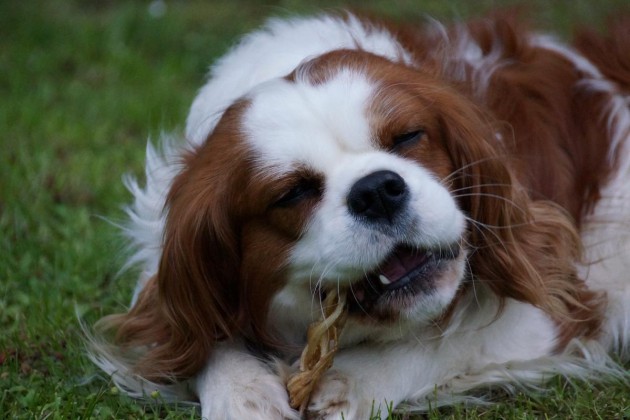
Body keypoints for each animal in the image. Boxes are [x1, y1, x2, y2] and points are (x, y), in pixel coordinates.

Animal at [89, 10, 630, 420]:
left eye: (408, 138)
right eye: (293, 193)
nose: (377, 191)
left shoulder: (555, 299)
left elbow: (449, 338)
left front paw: (354, 379)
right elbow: (196, 338)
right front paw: (242, 393)